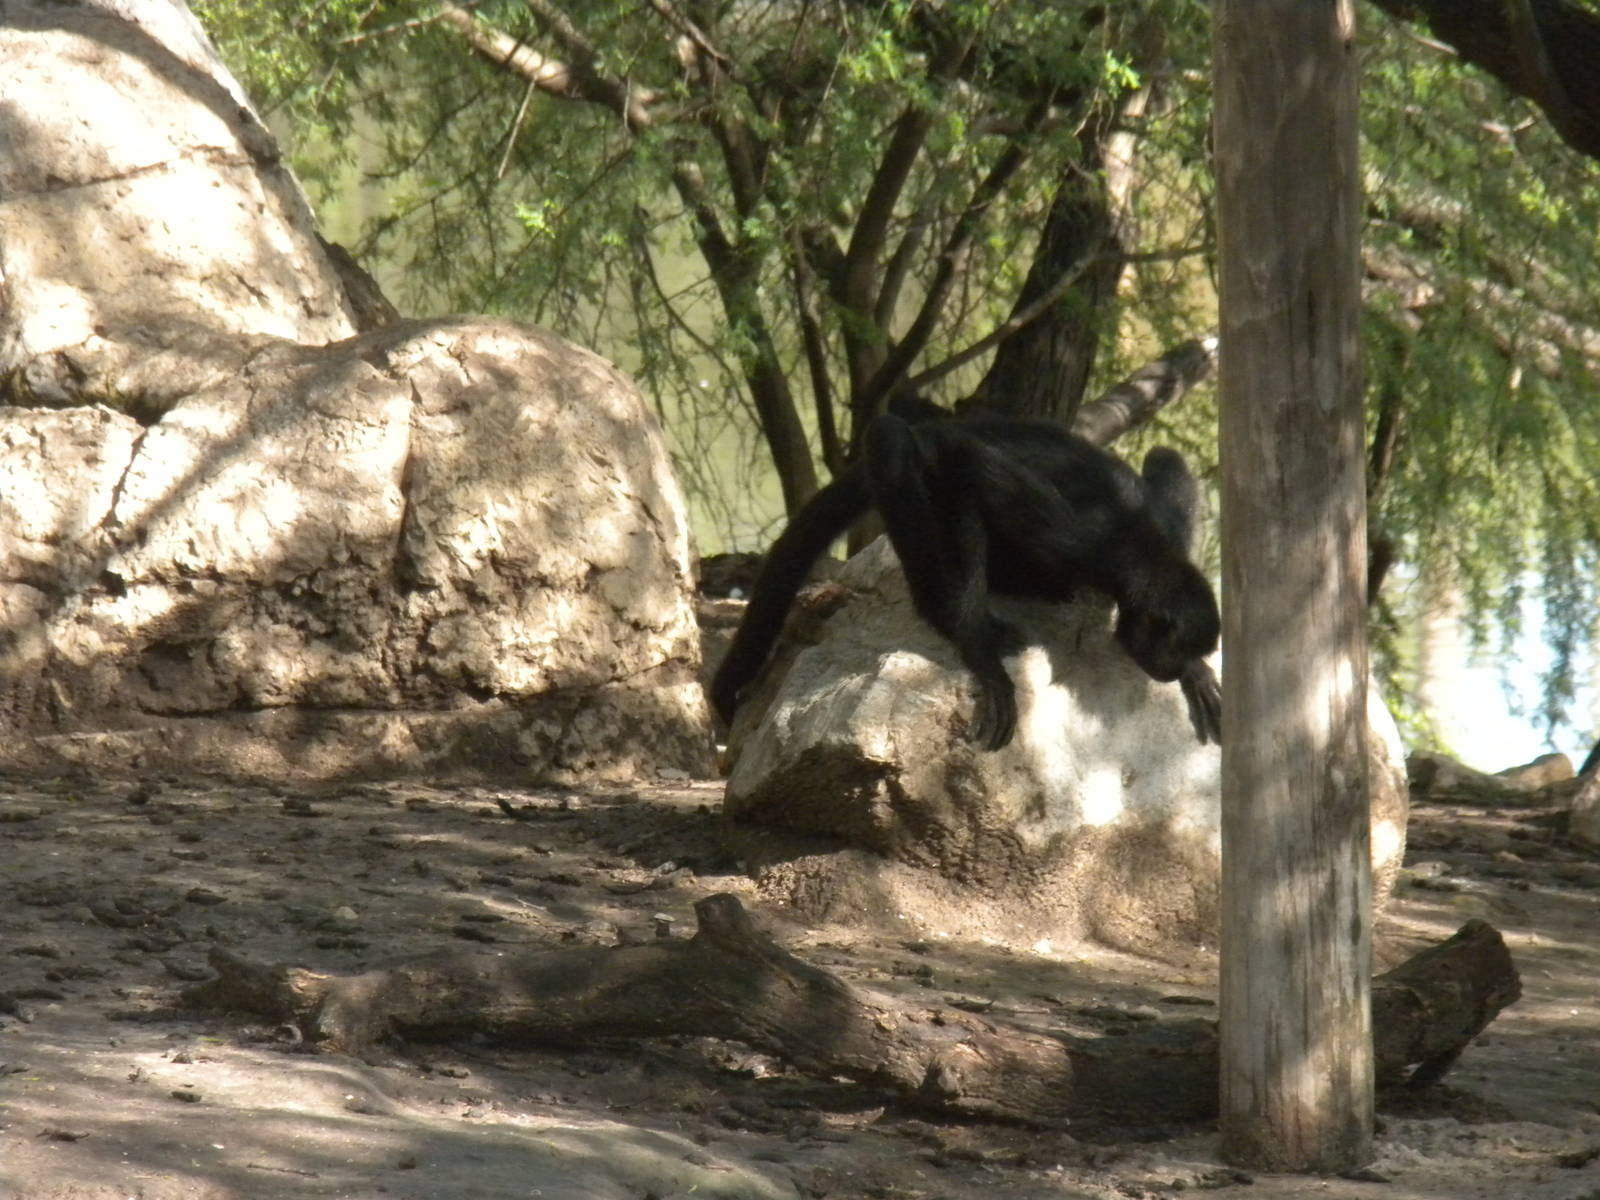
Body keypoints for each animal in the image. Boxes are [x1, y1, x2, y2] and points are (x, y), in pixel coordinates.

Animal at [711, 406, 1222, 751]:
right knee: (894, 438)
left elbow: (1166, 459)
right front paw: (985, 658)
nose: (1174, 668)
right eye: (1174, 650)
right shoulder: (1085, 541)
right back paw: (945, 610)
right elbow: (967, 464)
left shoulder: (1170, 526)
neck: (1147, 555)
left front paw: (1198, 674)